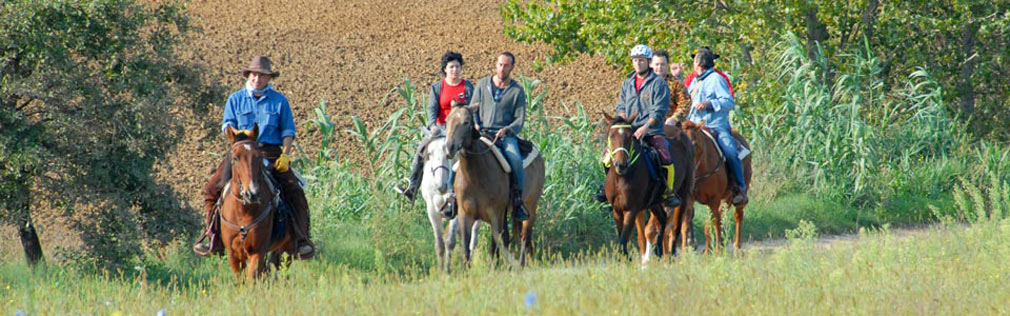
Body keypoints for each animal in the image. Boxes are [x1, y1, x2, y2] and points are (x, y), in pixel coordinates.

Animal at [220, 124, 294, 278]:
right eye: (235, 158)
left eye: (259, 157)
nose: (252, 193)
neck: (243, 211)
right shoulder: (233, 255)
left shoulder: (257, 252)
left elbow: (252, 278)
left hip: (286, 247)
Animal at [418, 136, 480, 270]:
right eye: (429, 154)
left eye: (449, 155)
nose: (441, 186)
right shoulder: (432, 210)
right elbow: (439, 244)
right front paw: (441, 270)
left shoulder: (456, 210)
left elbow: (450, 242)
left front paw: (448, 270)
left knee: (473, 240)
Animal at [446, 102, 549, 266]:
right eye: (447, 120)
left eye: (466, 122)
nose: (449, 147)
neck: (476, 176)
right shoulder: (465, 215)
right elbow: (466, 246)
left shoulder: (495, 214)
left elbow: (494, 244)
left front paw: (491, 267)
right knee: (513, 237)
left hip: (531, 207)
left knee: (524, 236)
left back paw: (522, 263)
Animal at [597, 112, 694, 260]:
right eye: (611, 135)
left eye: (630, 137)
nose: (621, 165)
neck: (621, 178)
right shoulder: (616, 210)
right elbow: (621, 237)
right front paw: (623, 259)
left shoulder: (631, 210)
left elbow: (623, 238)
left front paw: (627, 259)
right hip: (654, 202)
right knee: (662, 218)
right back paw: (658, 250)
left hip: (683, 194)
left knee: (676, 227)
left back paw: (670, 254)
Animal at [678, 120, 751, 251]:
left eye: (695, 144)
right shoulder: (690, 200)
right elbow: (685, 225)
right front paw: (686, 251)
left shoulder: (714, 200)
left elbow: (714, 223)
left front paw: (716, 250)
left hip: (739, 192)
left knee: (738, 215)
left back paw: (737, 246)